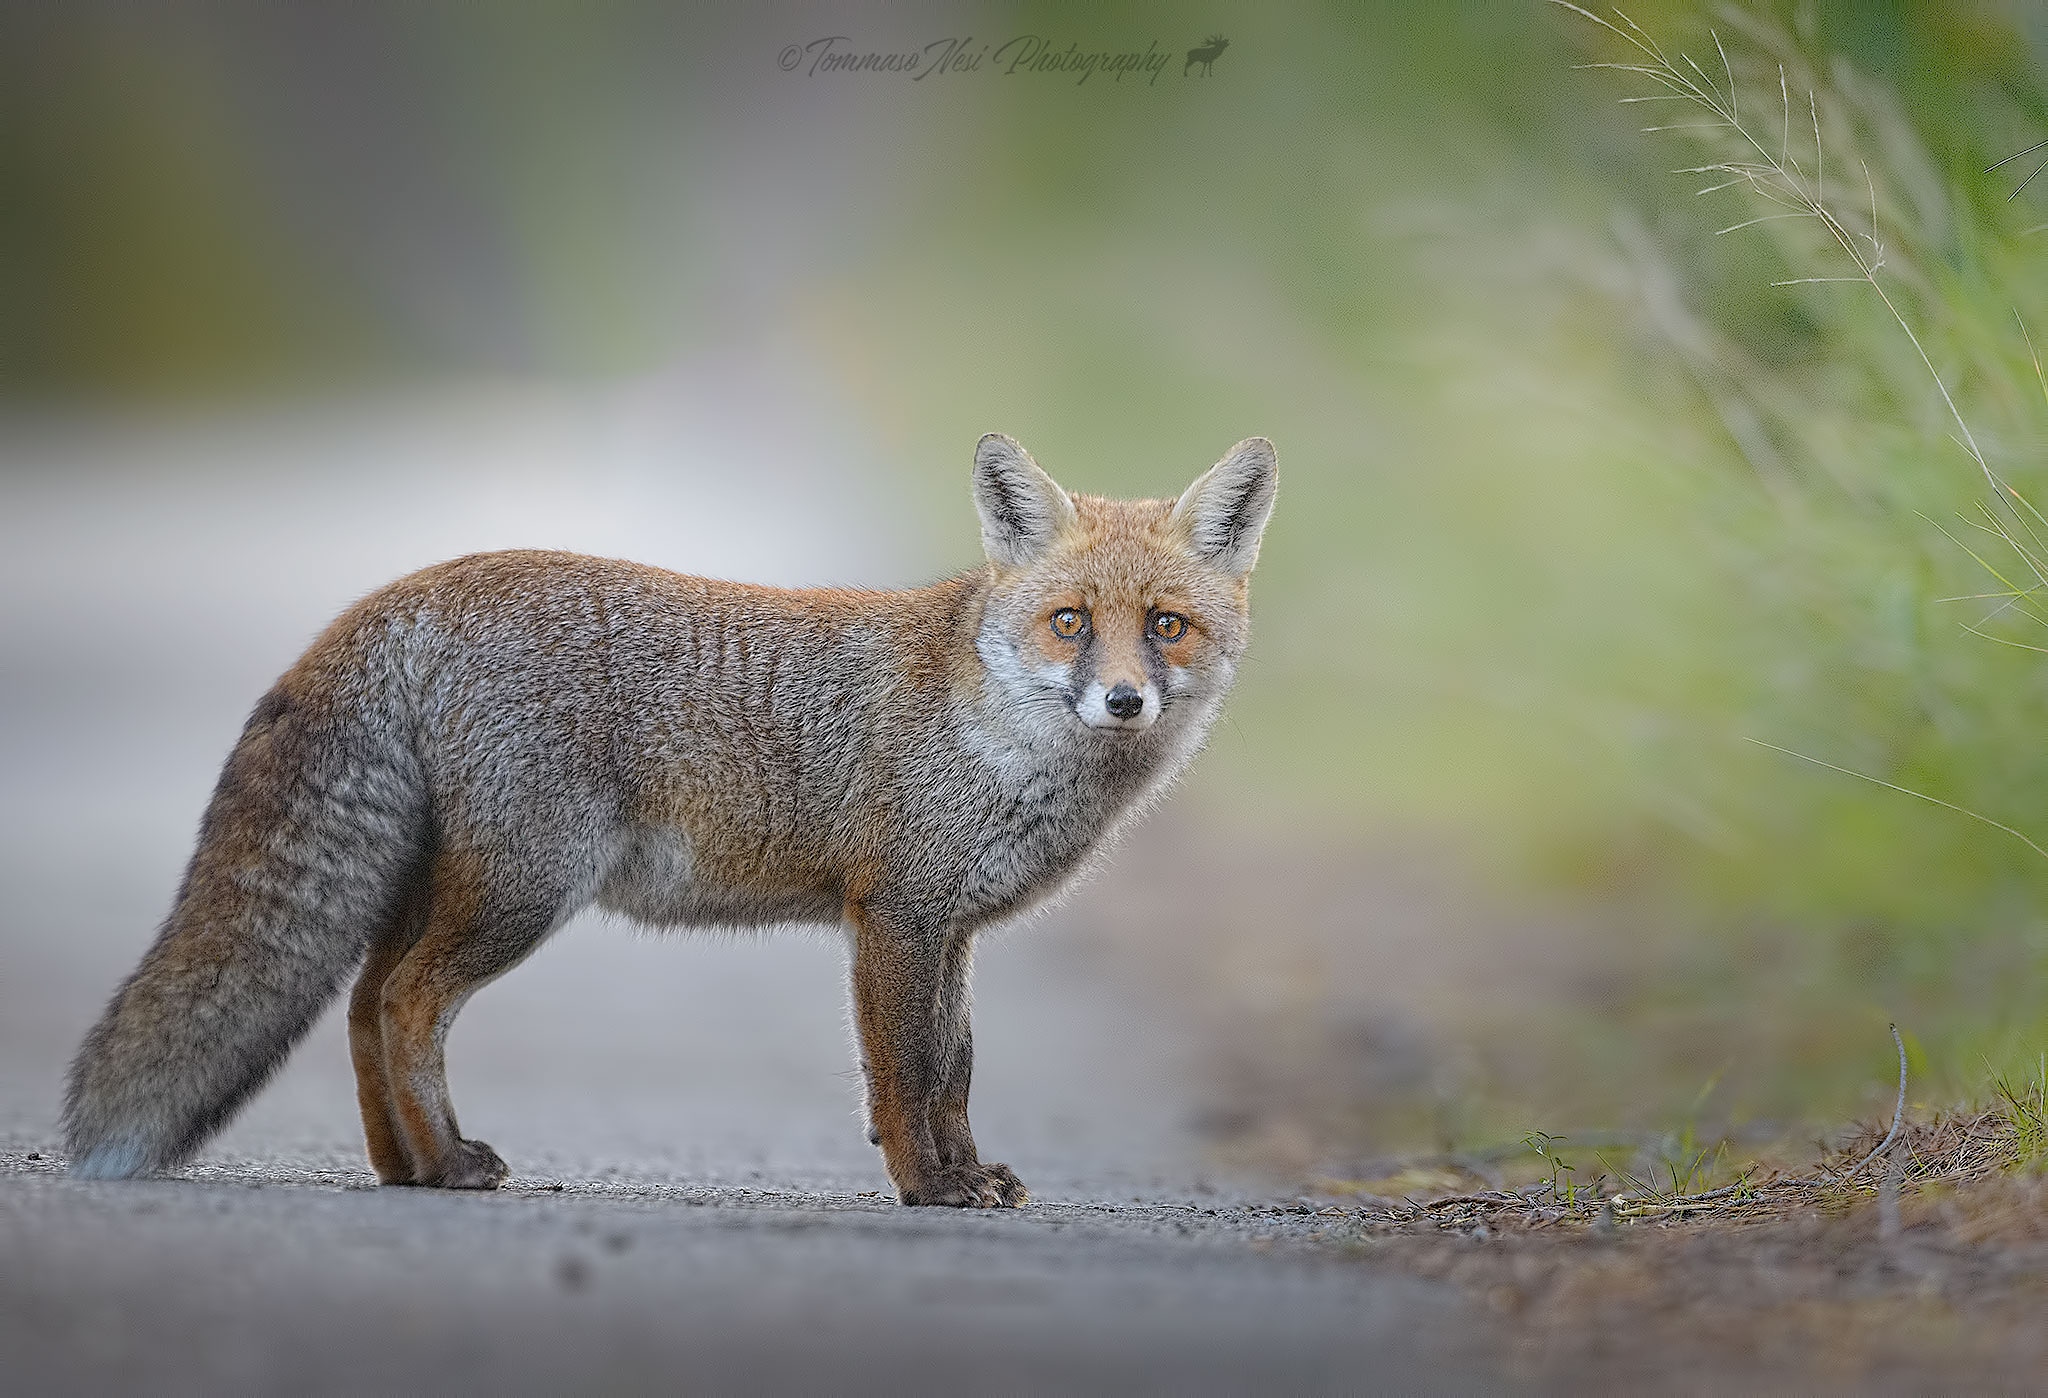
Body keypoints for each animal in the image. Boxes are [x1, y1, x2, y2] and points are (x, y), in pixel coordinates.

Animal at [62, 432, 1277, 1206]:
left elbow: (957, 1069)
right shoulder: (894, 915)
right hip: (522, 892)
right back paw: (447, 1168)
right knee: (403, 1004)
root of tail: (410, 589)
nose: (1122, 701)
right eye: (1070, 622)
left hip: (451, 885)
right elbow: (907, 1072)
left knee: (363, 1004)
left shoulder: (953, 931)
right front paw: (928, 1187)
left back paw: (405, 1166)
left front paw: (968, 1171)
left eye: (1164, 626)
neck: (999, 736)